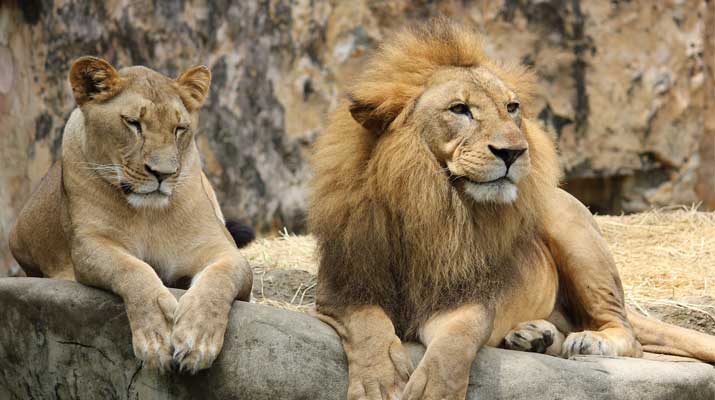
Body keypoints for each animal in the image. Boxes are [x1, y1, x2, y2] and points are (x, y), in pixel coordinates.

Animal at [9, 57, 253, 374]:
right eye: (133, 123)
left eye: (179, 128)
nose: (163, 173)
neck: (148, 214)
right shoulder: (89, 245)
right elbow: (133, 269)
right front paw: (157, 333)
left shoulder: (222, 249)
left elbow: (219, 280)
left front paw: (197, 339)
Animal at [310, 19, 715, 400]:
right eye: (460, 109)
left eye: (511, 107)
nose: (514, 152)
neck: (432, 205)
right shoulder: (343, 289)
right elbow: (369, 328)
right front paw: (377, 383)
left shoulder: (467, 299)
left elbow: (451, 350)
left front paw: (433, 391)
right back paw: (535, 335)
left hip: (572, 230)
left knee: (627, 334)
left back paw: (589, 340)